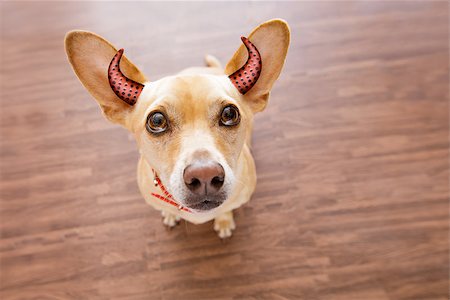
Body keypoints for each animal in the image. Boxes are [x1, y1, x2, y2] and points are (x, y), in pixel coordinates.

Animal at [65, 19, 292, 239]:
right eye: (157, 121)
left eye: (229, 114)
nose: (205, 175)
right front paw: (170, 214)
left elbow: (226, 209)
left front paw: (224, 221)